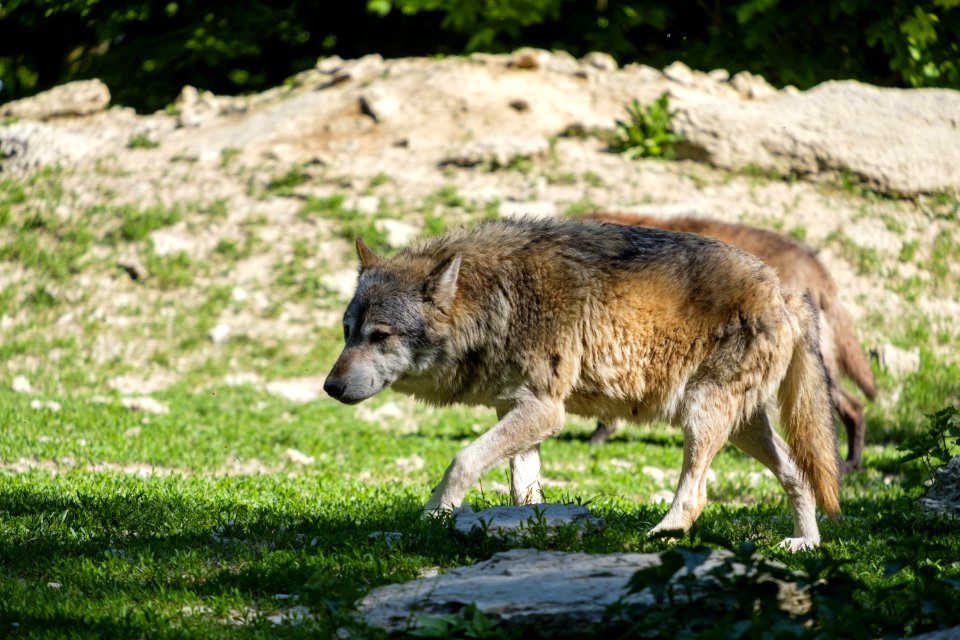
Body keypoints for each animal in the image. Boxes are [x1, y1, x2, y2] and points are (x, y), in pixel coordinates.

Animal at [324, 219, 840, 552]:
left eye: (380, 336)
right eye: (348, 332)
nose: (330, 386)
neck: (500, 300)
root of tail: (784, 292)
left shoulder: (545, 411)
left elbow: (461, 460)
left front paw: (435, 516)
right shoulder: (518, 411)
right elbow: (524, 492)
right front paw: (527, 532)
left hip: (700, 416)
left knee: (697, 494)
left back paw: (662, 534)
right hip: (741, 428)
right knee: (798, 474)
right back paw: (805, 543)